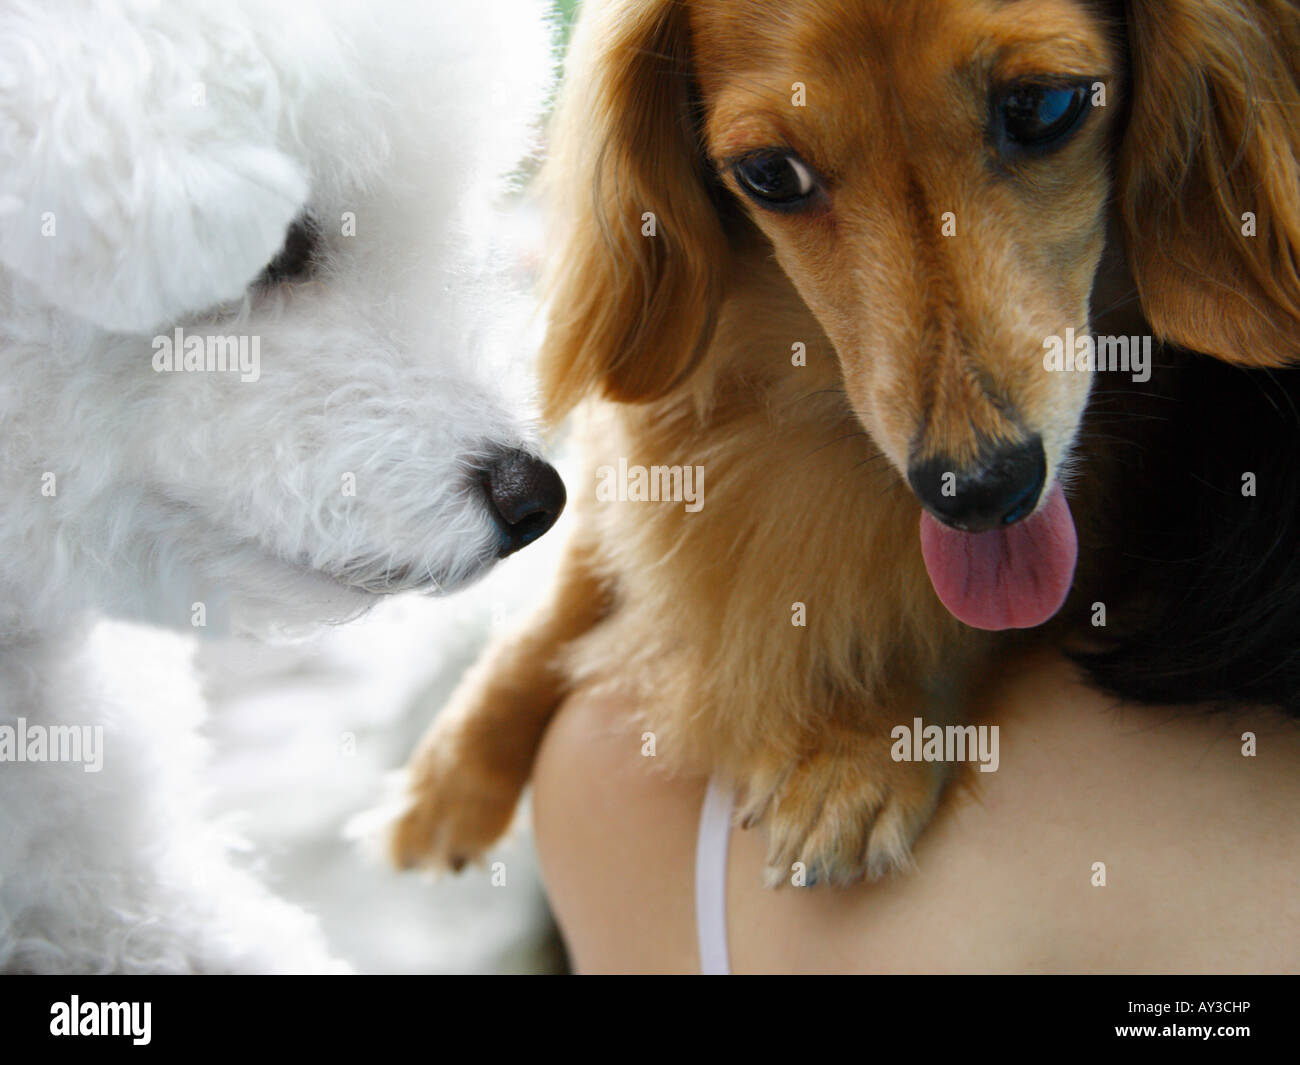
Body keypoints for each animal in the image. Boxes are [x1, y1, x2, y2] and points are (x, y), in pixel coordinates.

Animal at [390, 0, 1300, 884]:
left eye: (1045, 108)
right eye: (769, 174)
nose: (980, 492)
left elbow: (948, 608)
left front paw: (859, 738)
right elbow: (574, 589)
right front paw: (461, 765)